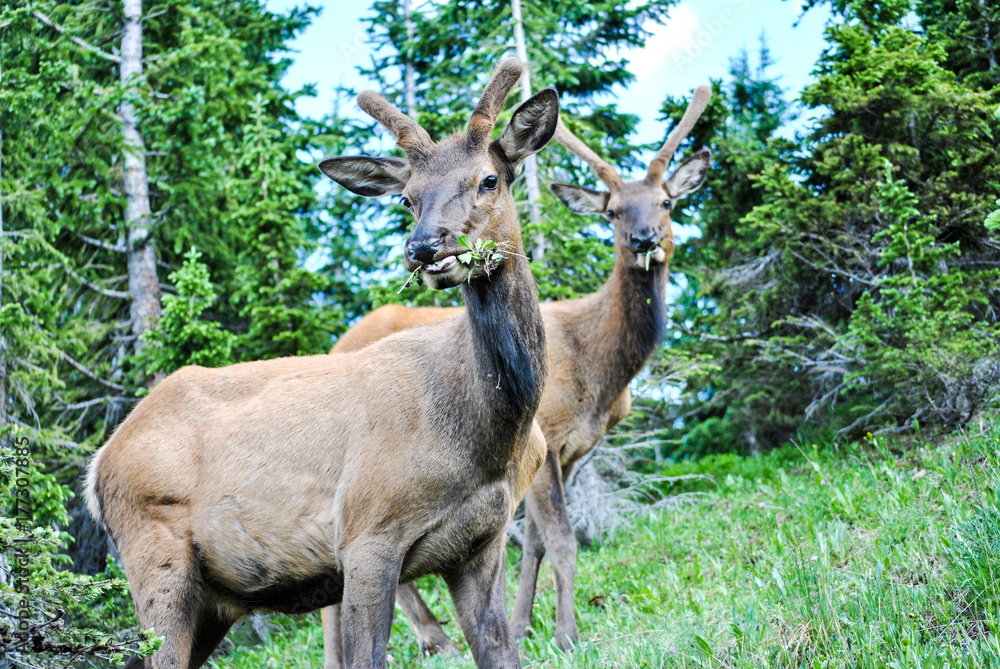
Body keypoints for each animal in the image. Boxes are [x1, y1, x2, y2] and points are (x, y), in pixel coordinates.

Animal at [82, 58, 560, 668]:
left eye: (489, 179)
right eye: (407, 197)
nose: (426, 248)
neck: (489, 437)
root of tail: (99, 465)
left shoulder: (483, 544)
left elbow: (501, 650)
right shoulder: (366, 531)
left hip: (211, 600)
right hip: (155, 555)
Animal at [318, 85, 712, 664]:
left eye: (666, 201)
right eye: (613, 211)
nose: (644, 239)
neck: (601, 368)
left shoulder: (571, 451)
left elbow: (538, 541)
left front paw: (527, 623)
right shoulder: (547, 434)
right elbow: (563, 537)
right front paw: (567, 634)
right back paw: (433, 637)